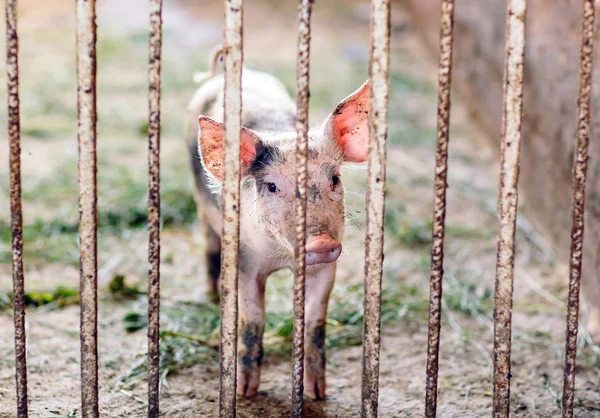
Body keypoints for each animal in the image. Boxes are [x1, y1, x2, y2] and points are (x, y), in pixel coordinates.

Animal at [185, 45, 370, 398]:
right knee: (209, 247)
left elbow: (315, 325)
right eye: (272, 187)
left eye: (335, 179)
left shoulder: (326, 269)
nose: (321, 243)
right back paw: (213, 296)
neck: (282, 258)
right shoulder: (247, 263)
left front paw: (316, 394)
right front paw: (245, 392)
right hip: (203, 211)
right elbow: (252, 322)